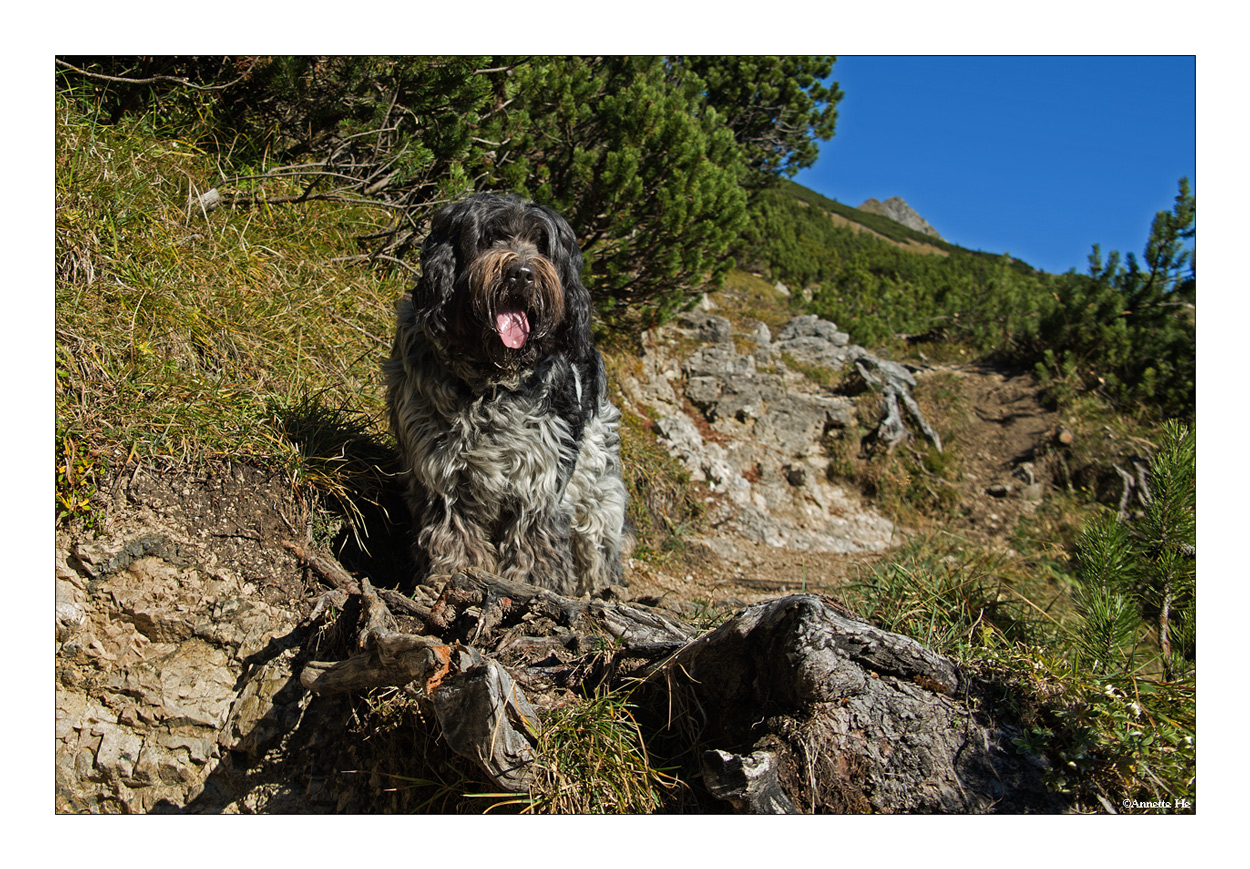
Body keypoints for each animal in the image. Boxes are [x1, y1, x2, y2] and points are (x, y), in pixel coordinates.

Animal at [385, 192, 630, 595]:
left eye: (543, 244)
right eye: (491, 237)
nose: (522, 273)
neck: (489, 386)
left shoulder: (539, 478)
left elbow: (534, 541)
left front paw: (534, 586)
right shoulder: (442, 473)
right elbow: (453, 533)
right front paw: (453, 577)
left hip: (596, 483)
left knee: (597, 541)